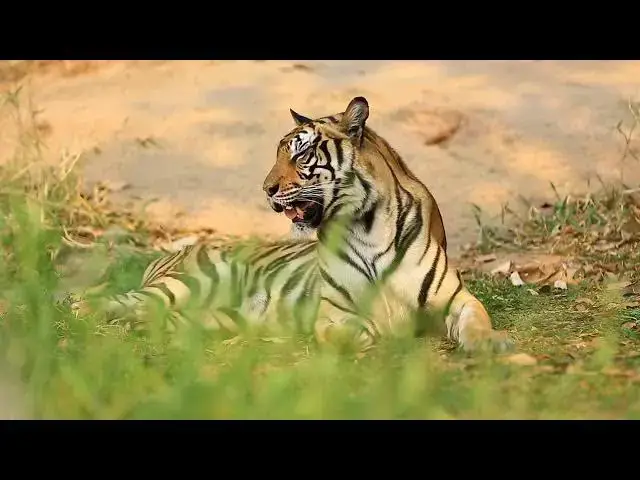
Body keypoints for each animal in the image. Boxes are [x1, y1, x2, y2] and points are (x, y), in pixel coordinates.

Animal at [76, 96, 513, 354]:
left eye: (300, 153)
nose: (266, 188)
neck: (366, 224)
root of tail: (176, 250)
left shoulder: (456, 298)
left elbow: (477, 321)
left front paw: (494, 344)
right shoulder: (331, 314)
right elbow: (356, 329)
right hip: (182, 284)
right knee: (106, 300)